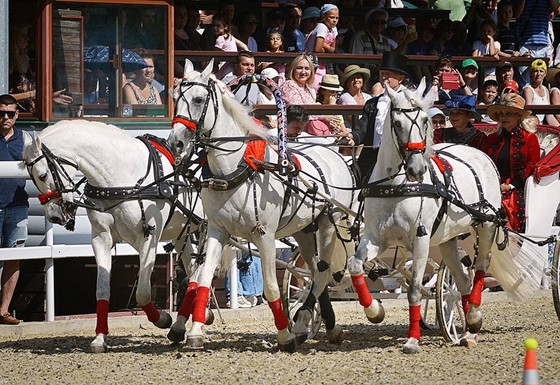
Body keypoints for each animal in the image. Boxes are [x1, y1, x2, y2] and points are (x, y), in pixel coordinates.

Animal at [23, 121, 208, 352]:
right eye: (32, 178)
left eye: (42, 175)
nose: (55, 216)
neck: (119, 177)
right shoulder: (101, 239)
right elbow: (102, 290)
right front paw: (99, 338)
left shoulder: (149, 239)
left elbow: (142, 292)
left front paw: (163, 318)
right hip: (183, 232)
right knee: (194, 269)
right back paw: (190, 321)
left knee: (201, 271)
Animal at [166, 60, 354, 352]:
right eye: (175, 98)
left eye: (198, 99)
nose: (175, 142)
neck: (237, 168)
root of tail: (333, 154)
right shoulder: (217, 231)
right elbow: (203, 279)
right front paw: (194, 332)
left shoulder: (264, 235)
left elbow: (271, 287)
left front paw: (284, 337)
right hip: (303, 229)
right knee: (314, 272)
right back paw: (323, 326)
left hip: (328, 222)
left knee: (322, 274)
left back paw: (301, 323)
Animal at [348, 79, 536, 352]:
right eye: (397, 123)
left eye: (425, 121)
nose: (416, 169)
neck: (397, 186)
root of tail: (480, 154)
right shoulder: (375, 237)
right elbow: (354, 265)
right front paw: (375, 311)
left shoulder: (421, 239)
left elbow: (415, 289)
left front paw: (412, 340)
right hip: (448, 239)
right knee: (463, 281)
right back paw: (468, 331)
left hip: (485, 226)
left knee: (480, 268)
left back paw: (474, 319)